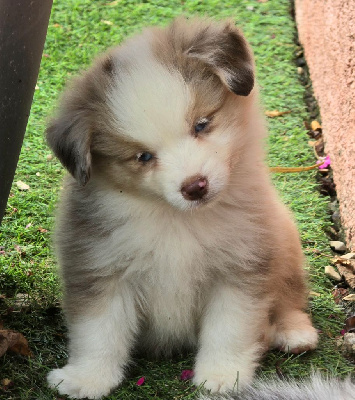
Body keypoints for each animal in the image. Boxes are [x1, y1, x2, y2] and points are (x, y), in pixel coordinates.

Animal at [48, 17, 320, 398]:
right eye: (143, 157)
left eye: (201, 125)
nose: (195, 186)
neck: (175, 220)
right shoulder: (99, 267)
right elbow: (98, 332)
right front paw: (86, 379)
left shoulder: (241, 266)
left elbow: (229, 329)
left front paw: (223, 375)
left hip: (285, 241)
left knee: (290, 295)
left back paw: (293, 331)